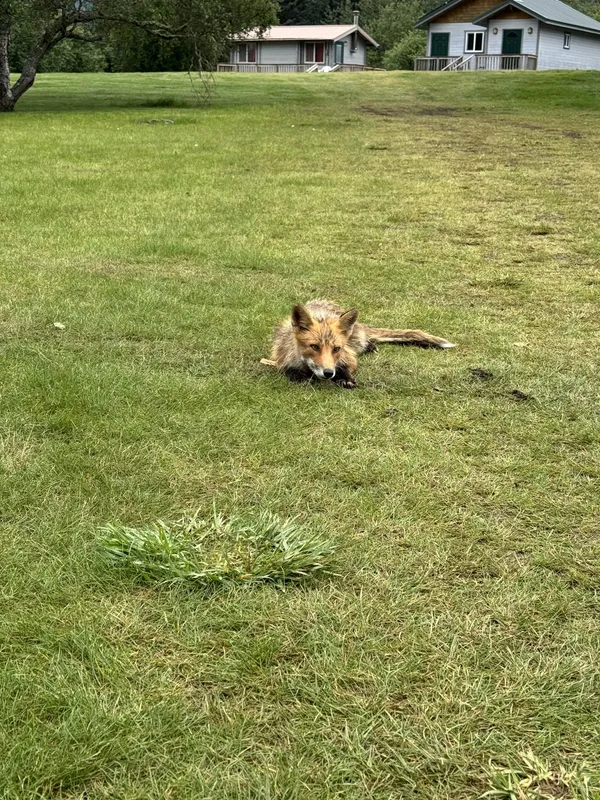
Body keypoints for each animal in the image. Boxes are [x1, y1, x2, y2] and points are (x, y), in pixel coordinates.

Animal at [261, 299, 456, 389]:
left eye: (336, 349)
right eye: (314, 346)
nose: (328, 373)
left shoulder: (347, 356)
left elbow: (348, 367)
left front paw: (345, 378)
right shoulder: (281, 359)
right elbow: (290, 372)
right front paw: (302, 378)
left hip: (356, 341)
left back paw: (370, 346)